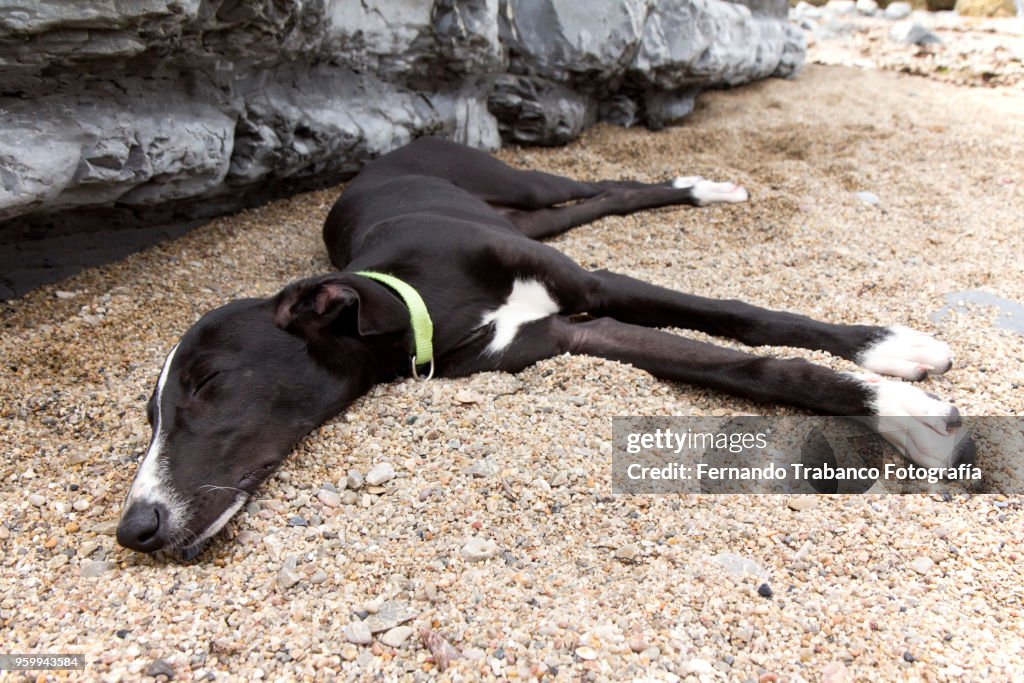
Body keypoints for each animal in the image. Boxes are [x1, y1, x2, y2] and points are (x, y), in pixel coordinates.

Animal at [116, 136, 970, 557]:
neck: (426, 297)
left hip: (520, 187)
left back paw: (705, 189)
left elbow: (741, 317)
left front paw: (890, 359)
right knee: (598, 201)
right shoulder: (573, 330)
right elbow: (745, 363)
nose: (135, 528)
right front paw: (901, 405)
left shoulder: (593, 281)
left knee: (611, 188)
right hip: (532, 216)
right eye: (150, 419)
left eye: (206, 382)